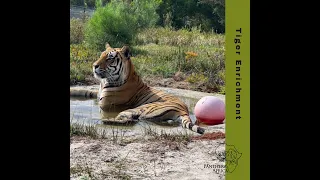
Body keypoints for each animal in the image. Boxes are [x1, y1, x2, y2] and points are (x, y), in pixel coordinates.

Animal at [73, 43, 205, 134]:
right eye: (101, 55)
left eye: (110, 58)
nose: (94, 66)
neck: (105, 81)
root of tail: (184, 110)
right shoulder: (96, 93)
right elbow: (82, 91)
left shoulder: (104, 103)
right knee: (133, 120)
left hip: (139, 109)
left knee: (129, 120)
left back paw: (103, 121)